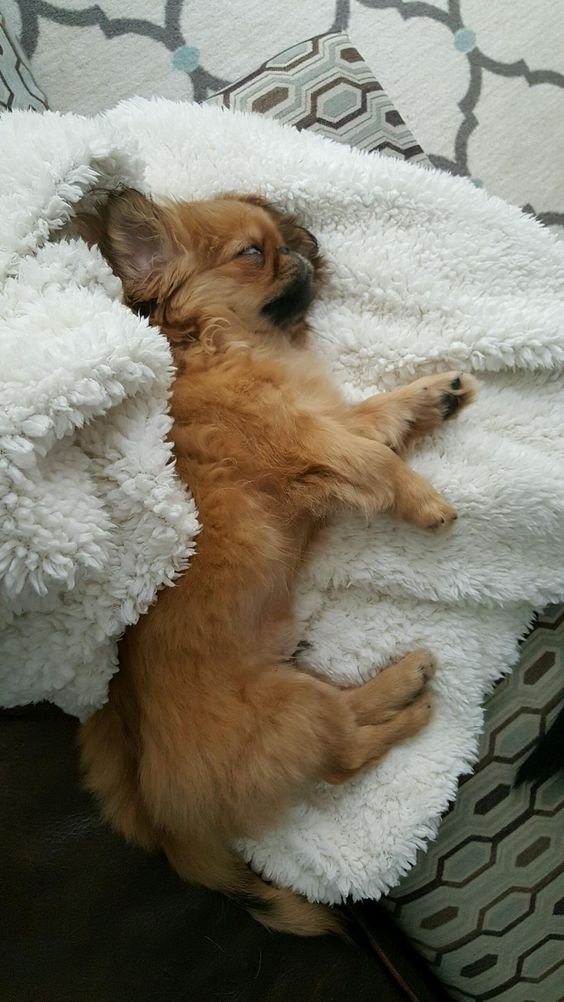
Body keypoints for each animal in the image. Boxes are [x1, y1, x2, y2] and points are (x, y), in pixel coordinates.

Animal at [79, 189, 476, 937]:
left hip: (298, 690)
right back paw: (410, 711)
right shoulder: (309, 442)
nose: (303, 246)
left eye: (281, 242)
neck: (232, 346)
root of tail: (163, 819)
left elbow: (379, 414)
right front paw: (425, 501)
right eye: (253, 252)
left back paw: (404, 680)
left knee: (345, 718)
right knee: (346, 755)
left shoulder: (332, 421)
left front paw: (434, 392)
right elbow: (378, 461)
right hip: (295, 712)